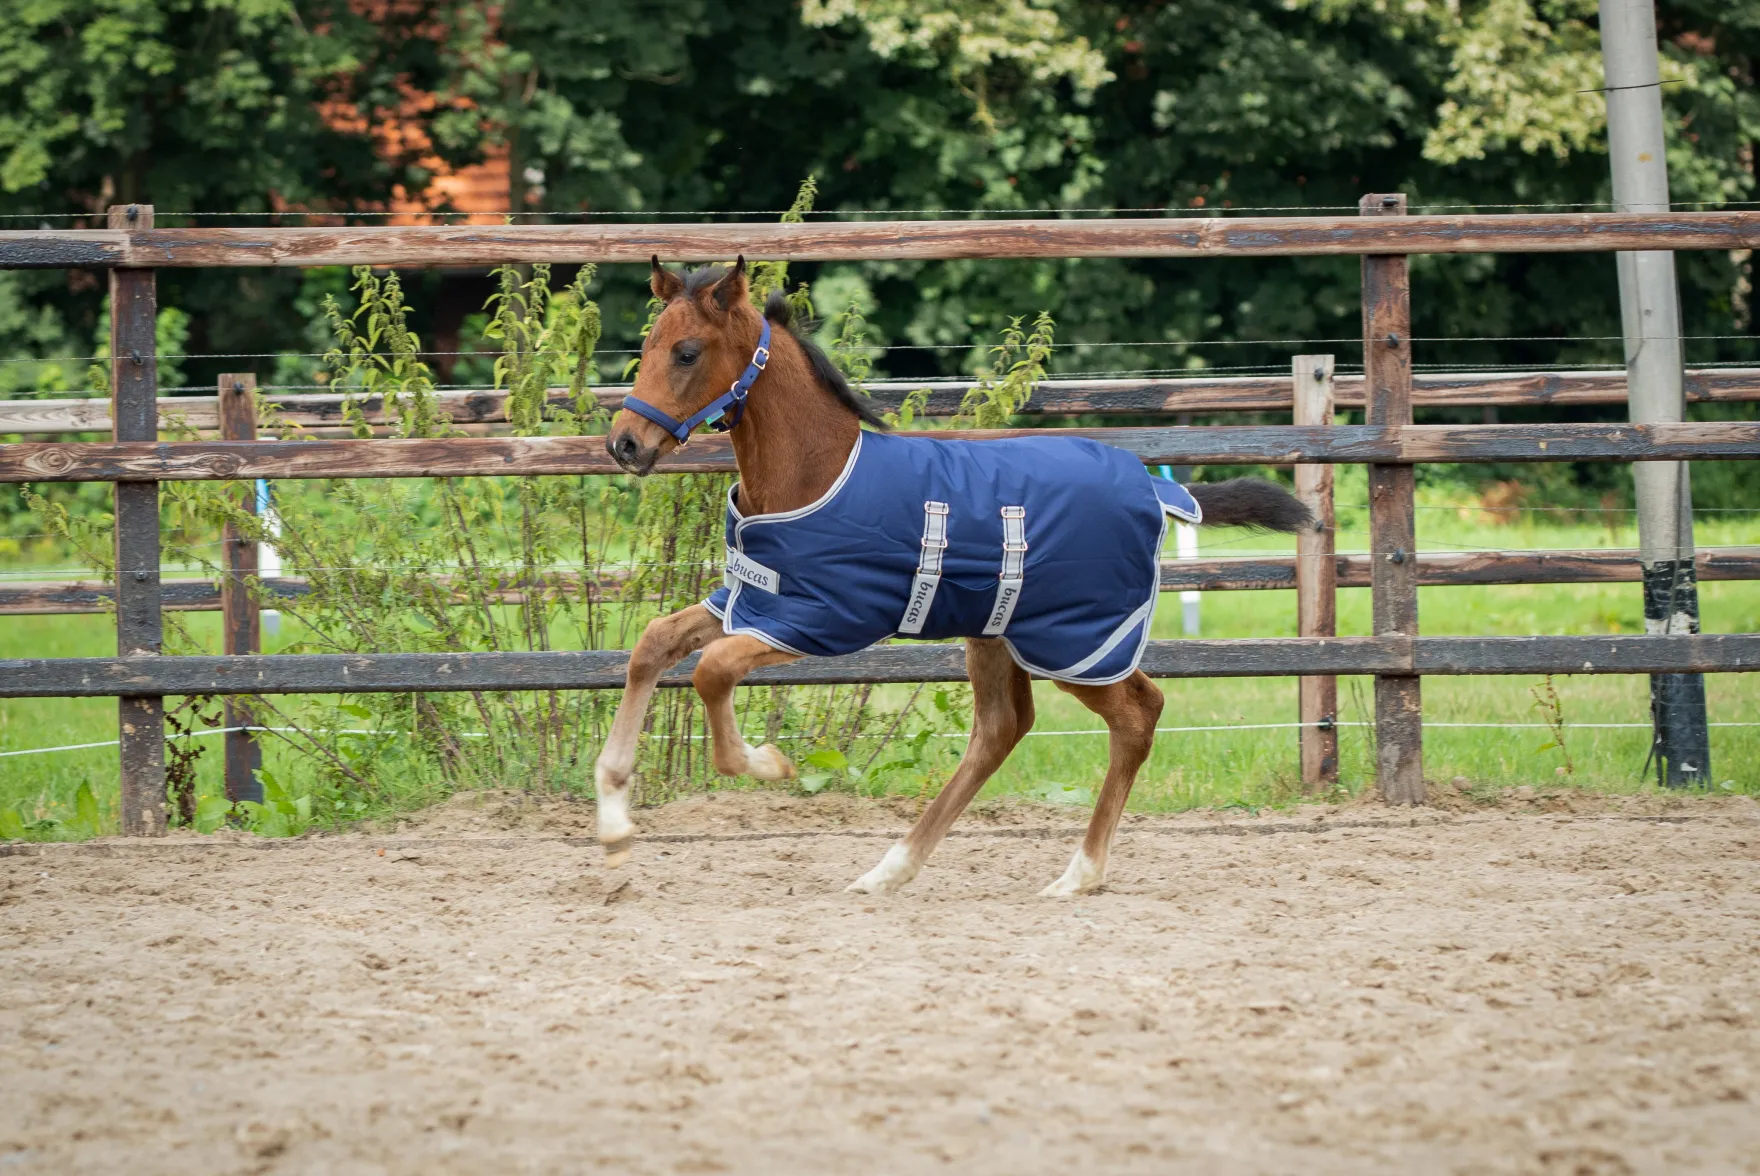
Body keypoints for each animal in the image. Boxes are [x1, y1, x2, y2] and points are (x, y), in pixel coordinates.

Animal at [595, 257, 1313, 897]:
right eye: (648, 347)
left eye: (687, 352)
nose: (624, 444)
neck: (815, 471)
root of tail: (1155, 489)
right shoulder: (748, 599)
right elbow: (654, 643)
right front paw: (613, 823)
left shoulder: (822, 617)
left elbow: (714, 670)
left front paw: (768, 762)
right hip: (999, 633)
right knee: (1002, 729)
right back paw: (889, 871)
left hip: (1077, 643)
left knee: (1138, 714)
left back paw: (1077, 875)